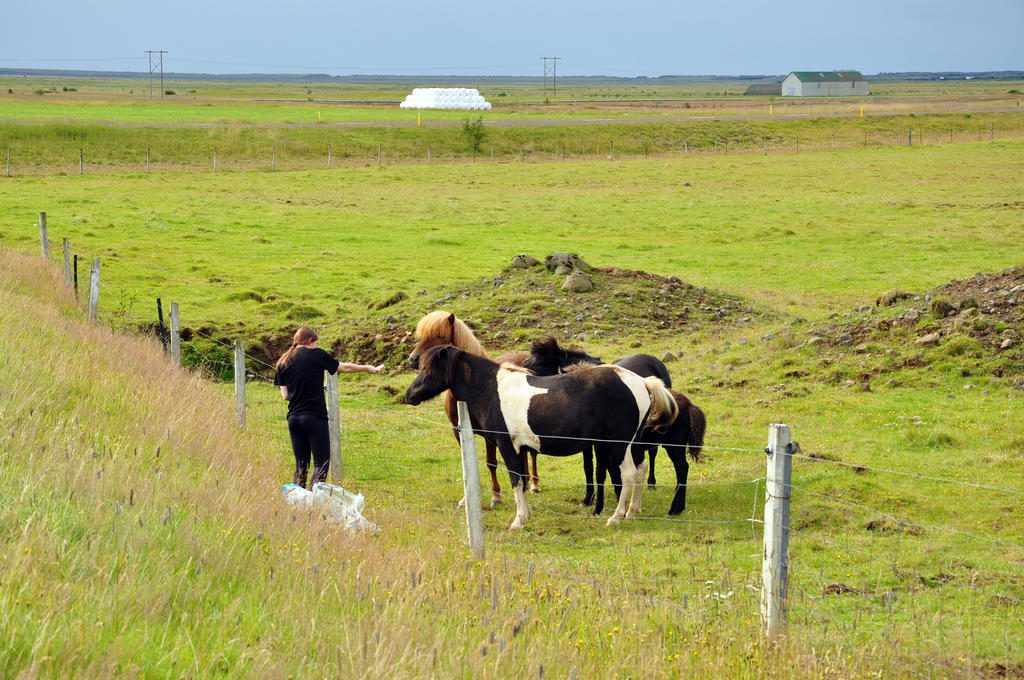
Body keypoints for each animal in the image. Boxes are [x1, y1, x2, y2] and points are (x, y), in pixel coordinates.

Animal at [403, 346, 675, 532]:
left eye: (428, 369)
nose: (409, 395)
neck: (493, 389)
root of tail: (641, 382)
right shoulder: (520, 449)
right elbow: (523, 481)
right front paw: (526, 514)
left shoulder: (507, 446)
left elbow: (516, 481)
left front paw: (518, 521)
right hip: (632, 444)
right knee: (641, 470)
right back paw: (632, 511)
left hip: (618, 446)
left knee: (629, 474)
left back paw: (616, 517)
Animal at [405, 311, 540, 503]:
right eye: (421, 336)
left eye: (440, 336)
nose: (413, 359)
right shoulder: (458, 431)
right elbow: (467, 462)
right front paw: (465, 499)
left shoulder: (490, 435)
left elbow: (491, 463)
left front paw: (496, 496)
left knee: (532, 454)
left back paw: (534, 484)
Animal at [520, 337, 704, 518]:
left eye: (537, 363)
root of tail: (689, 405)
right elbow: (590, 468)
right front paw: (590, 499)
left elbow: (607, 471)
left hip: (672, 445)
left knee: (675, 465)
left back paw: (669, 502)